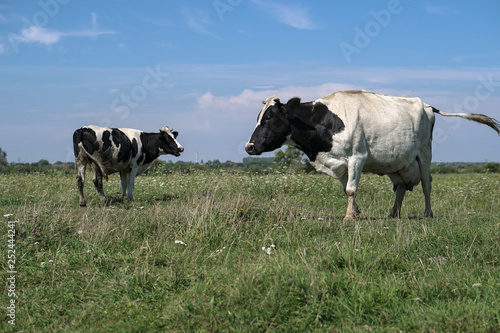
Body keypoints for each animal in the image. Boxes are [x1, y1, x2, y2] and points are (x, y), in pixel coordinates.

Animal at [246, 89, 500, 219]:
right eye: (258, 117)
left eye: (269, 118)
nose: (249, 146)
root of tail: (427, 105)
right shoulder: (339, 163)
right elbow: (346, 189)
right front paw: (356, 212)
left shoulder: (357, 157)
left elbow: (351, 188)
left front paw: (350, 217)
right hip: (399, 162)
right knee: (401, 187)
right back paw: (393, 214)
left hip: (424, 153)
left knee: (427, 183)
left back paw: (428, 213)